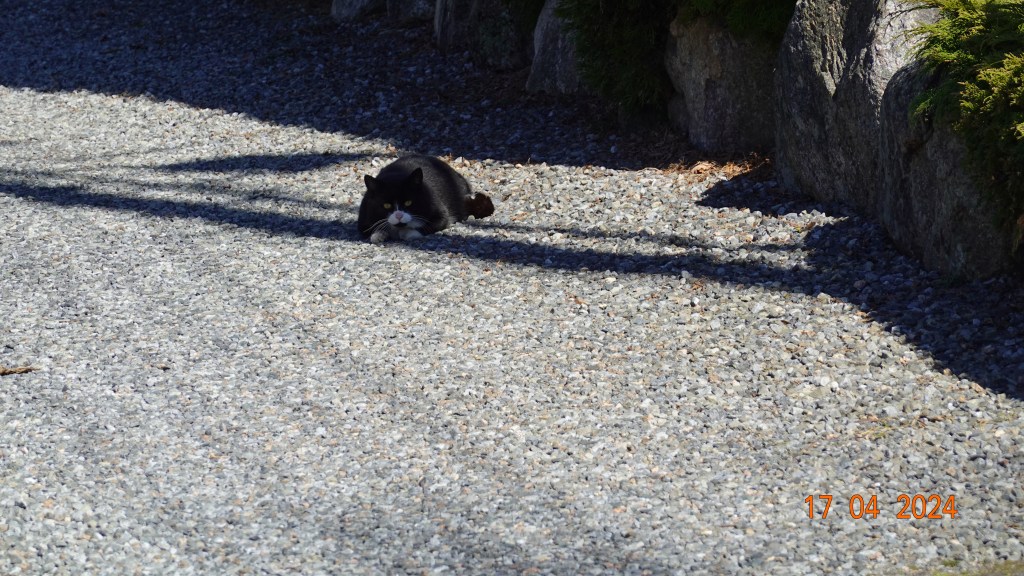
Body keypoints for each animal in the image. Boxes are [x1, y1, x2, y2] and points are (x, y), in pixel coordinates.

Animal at [358, 154, 494, 243]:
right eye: (386, 205)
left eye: (408, 202)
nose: (398, 215)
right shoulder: (363, 217)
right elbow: (371, 230)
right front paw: (378, 235)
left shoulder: (440, 212)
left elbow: (428, 226)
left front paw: (408, 233)